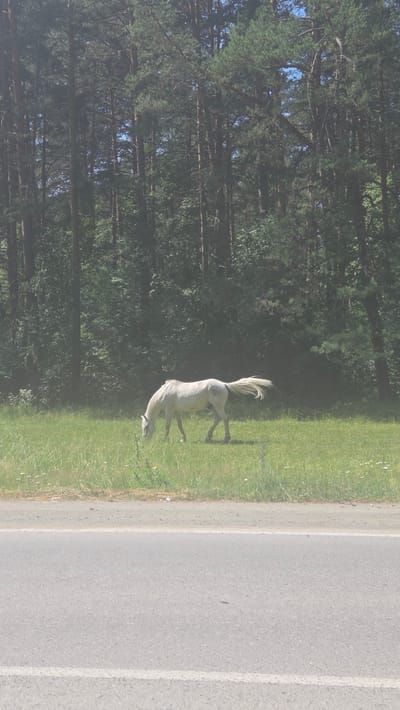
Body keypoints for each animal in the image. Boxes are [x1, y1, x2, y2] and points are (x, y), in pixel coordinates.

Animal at [141, 376, 273, 443]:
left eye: (146, 427)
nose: (144, 440)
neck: (164, 393)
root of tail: (223, 384)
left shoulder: (169, 410)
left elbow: (167, 425)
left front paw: (165, 439)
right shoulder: (177, 411)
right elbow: (179, 425)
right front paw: (183, 438)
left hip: (218, 406)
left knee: (225, 418)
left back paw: (226, 438)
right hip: (213, 407)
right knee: (217, 419)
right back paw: (208, 437)